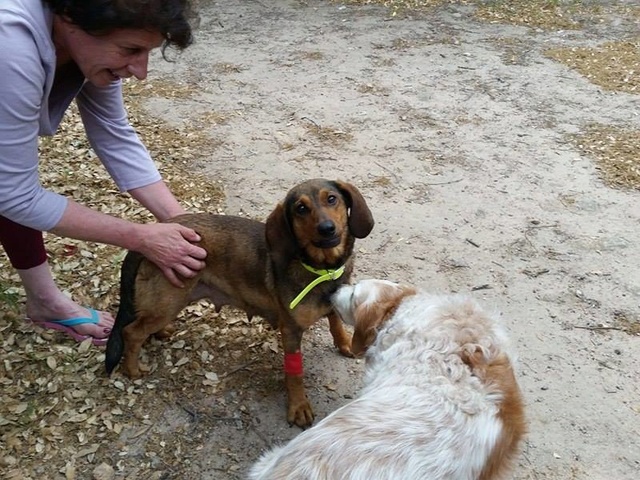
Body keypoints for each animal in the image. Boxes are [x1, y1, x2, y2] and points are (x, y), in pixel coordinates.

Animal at [105, 179, 376, 428]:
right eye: (300, 208)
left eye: (331, 199)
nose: (327, 229)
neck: (322, 269)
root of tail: (155, 233)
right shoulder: (290, 330)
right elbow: (295, 373)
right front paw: (298, 406)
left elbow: (336, 323)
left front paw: (346, 344)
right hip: (168, 302)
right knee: (131, 332)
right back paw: (132, 369)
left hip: (168, 303)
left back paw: (161, 333)